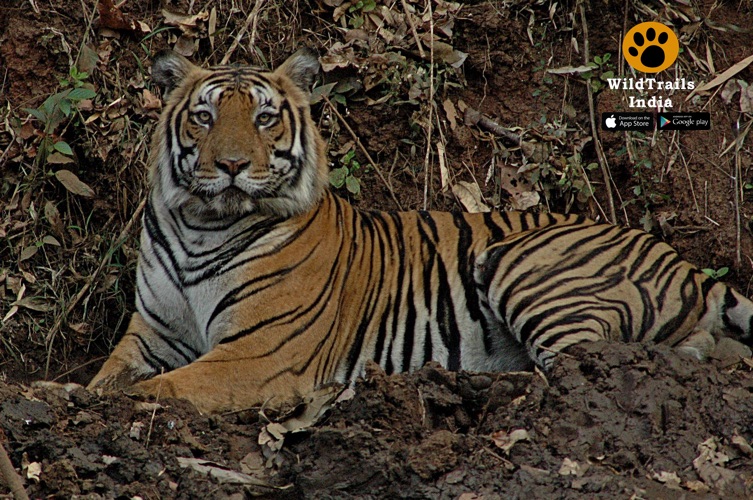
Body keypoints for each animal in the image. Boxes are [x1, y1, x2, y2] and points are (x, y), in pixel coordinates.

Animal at [89, 48, 752, 412]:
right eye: (203, 118)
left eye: (264, 118)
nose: (229, 165)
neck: (202, 224)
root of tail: (683, 260)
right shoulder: (153, 332)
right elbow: (109, 377)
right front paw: (79, 392)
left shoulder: (259, 353)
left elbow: (161, 389)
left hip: (524, 264)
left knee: (580, 365)